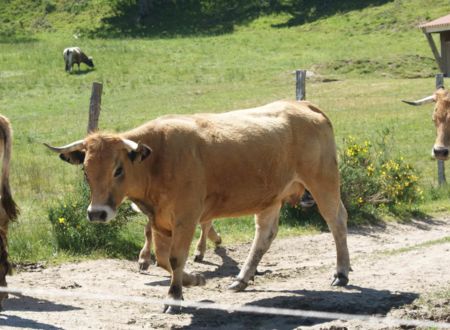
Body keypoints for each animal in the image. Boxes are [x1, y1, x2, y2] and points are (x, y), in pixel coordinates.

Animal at [44, 99, 350, 314]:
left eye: (118, 170)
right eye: (86, 171)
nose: (97, 213)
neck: (158, 159)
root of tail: (302, 105)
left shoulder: (186, 217)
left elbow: (176, 258)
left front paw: (174, 297)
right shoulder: (159, 220)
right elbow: (163, 259)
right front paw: (195, 280)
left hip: (323, 180)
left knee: (336, 220)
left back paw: (341, 273)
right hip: (271, 196)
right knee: (265, 233)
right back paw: (241, 279)